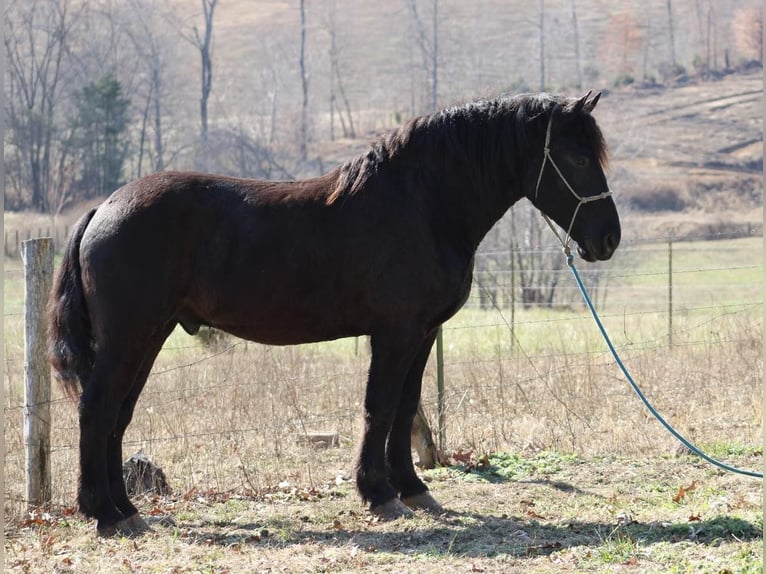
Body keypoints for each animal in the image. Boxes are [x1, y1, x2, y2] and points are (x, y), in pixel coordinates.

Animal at [48, 92, 620, 536]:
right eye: (575, 158)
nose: (608, 239)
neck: (423, 204)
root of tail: (103, 208)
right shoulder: (395, 334)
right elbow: (380, 408)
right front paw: (379, 494)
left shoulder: (422, 334)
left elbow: (406, 408)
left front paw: (413, 489)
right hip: (129, 338)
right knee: (96, 411)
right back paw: (104, 514)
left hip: (148, 337)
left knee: (117, 417)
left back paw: (126, 509)